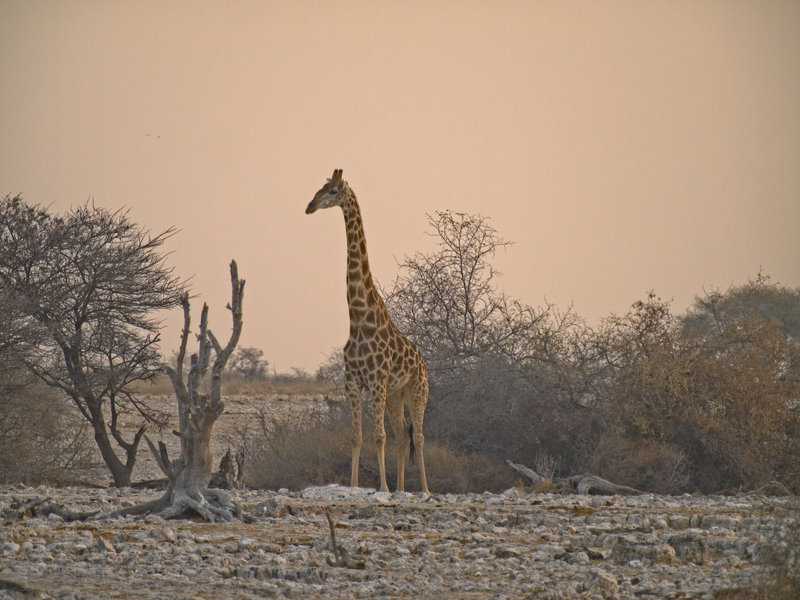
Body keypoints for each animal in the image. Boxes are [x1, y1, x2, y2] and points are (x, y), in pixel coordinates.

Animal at [306, 169, 430, 497]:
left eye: (333, 191)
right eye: (320, 187)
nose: (309, 206)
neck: (359, 318)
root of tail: (423, 361)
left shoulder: (376, 381)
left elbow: (379, 436)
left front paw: (383, 487)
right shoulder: (353, 382)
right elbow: (357, 436)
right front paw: (353, 485)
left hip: (417, 390)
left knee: (418, 436)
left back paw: (424, 490)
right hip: (396, 394)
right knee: (402, 434)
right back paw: (402, 488)